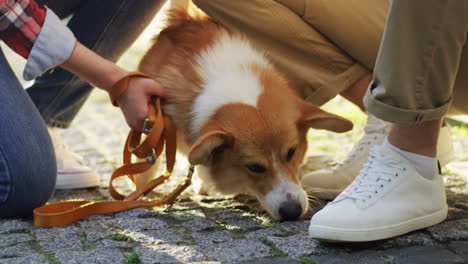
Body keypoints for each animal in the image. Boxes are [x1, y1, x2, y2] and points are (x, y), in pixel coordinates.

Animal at [136, 8, 352, 220]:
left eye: (292, 152)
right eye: (254, 167)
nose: (292, 212)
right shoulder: (154, 118)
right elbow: (148, 159)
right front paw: (141, 193)